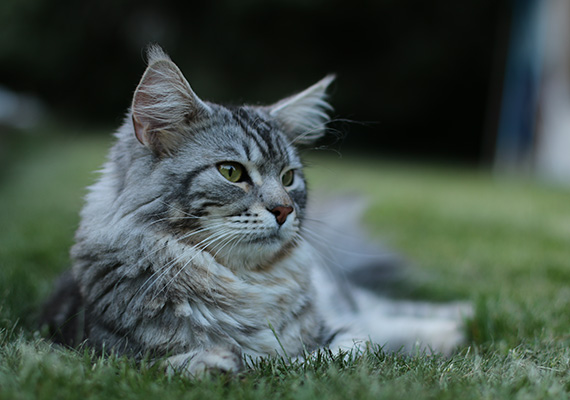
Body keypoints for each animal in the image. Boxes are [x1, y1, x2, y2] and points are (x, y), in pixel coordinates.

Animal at [38, 45, 466, 376]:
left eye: (290, 177)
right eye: (232, 172)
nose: (284, 210)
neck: (246, 284)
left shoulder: (337, 330)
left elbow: (329, 353)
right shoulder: (102, 352)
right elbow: (170, 365)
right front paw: (215, 365)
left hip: (349, 298)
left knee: (387, 309)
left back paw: (459, 321)